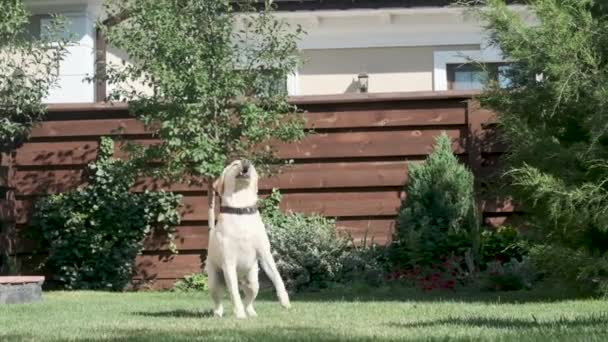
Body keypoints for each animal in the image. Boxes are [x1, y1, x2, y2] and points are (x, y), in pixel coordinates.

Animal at [204, 159, 290, 320]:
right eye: (234, 164)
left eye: (251, 164)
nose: (246, 162)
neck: (241, 210)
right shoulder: (228, 262)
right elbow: (234, 293)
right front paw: (239, 314)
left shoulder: (265, 254)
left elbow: (277, 277)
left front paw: (285, 301)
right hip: (214, 280)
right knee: (219, 299)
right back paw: (219, 313)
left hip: (253, 282)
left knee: (249, 300)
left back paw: (251, 313)